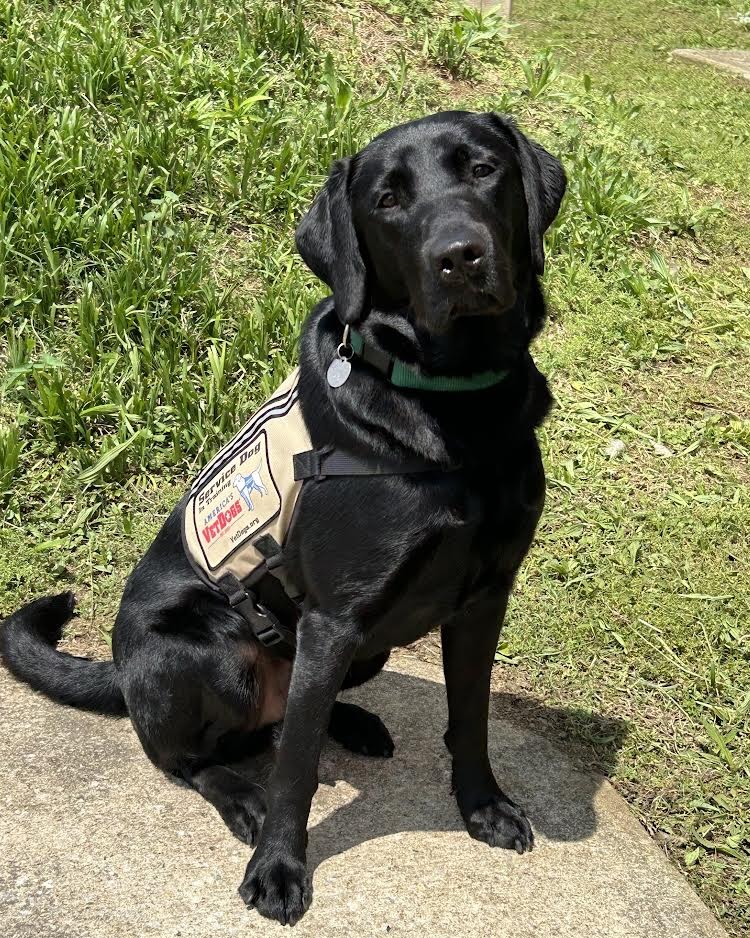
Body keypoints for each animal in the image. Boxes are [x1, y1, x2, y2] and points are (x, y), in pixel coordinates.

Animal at [0, 109, 564, 920]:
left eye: (484, 169)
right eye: (388, 200)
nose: (460, 256)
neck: (456, 410)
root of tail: (122, 672)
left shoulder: (484, 597)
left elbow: (472, 716)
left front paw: (482, 806)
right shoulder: (333, 618)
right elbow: (295, 770)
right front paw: (279, 869)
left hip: (363, 649)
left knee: (287, 721)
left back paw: (353, 724)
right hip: (208, 651)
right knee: (198, 756)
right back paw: (241, 796)